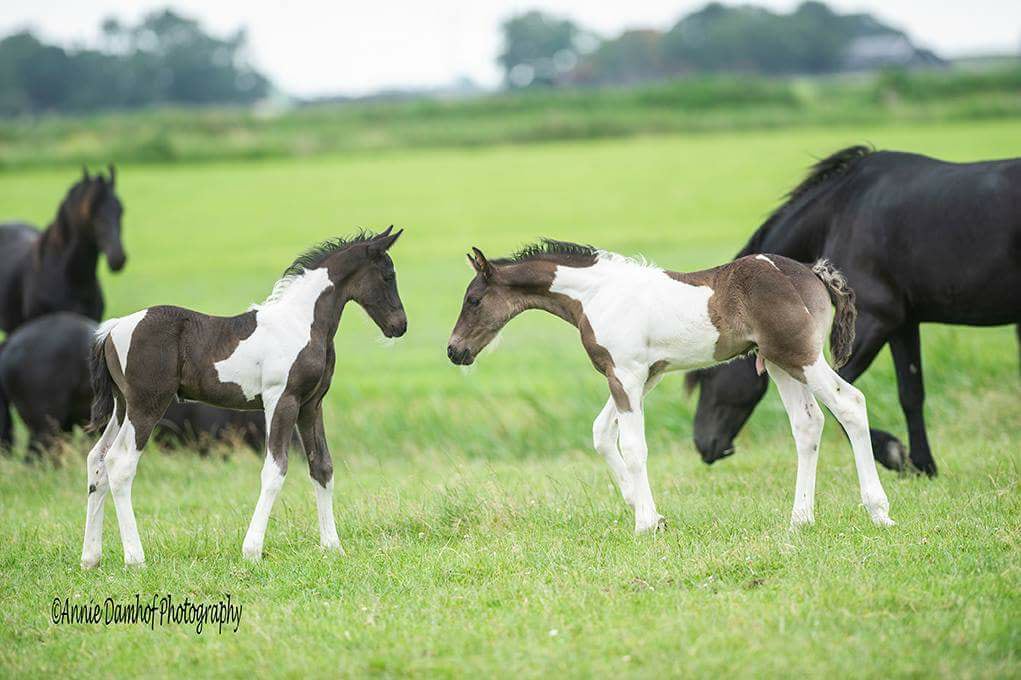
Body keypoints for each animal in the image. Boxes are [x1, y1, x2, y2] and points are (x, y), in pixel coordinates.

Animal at [79, 227, 406, 567]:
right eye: (388, 275)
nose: (400, 325)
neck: (302, 322)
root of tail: (113, 329)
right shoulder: (282, 400)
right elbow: (275, 469)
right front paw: (252, 550)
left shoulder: (311, 405)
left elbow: (322, 466)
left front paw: (332, 546)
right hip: (147, 406)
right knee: (120, 463)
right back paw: (135, 557)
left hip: (123, 407)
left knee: (97, 461)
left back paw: (91, 557)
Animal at [449, 240, 894, 530]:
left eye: (473, 300)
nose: (454, 351)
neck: (597, 295)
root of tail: (811, 273)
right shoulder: (642, 375)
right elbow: (601, 433)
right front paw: (643, 506)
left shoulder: (626, 374)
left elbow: (632, 446)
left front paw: (646, 523)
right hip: (779, 363)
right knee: (807, 424)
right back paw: (800, 519)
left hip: (802, 356)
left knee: (851, 404)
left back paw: (878, 511)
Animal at [686, 143, 1021, 471]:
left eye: (707, 376)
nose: (703, 445)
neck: (842, 213)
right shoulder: (903, 325)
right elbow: (911, 395)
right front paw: (922, 465)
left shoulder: (875, 320)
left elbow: (841, 391)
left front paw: (893, 453)